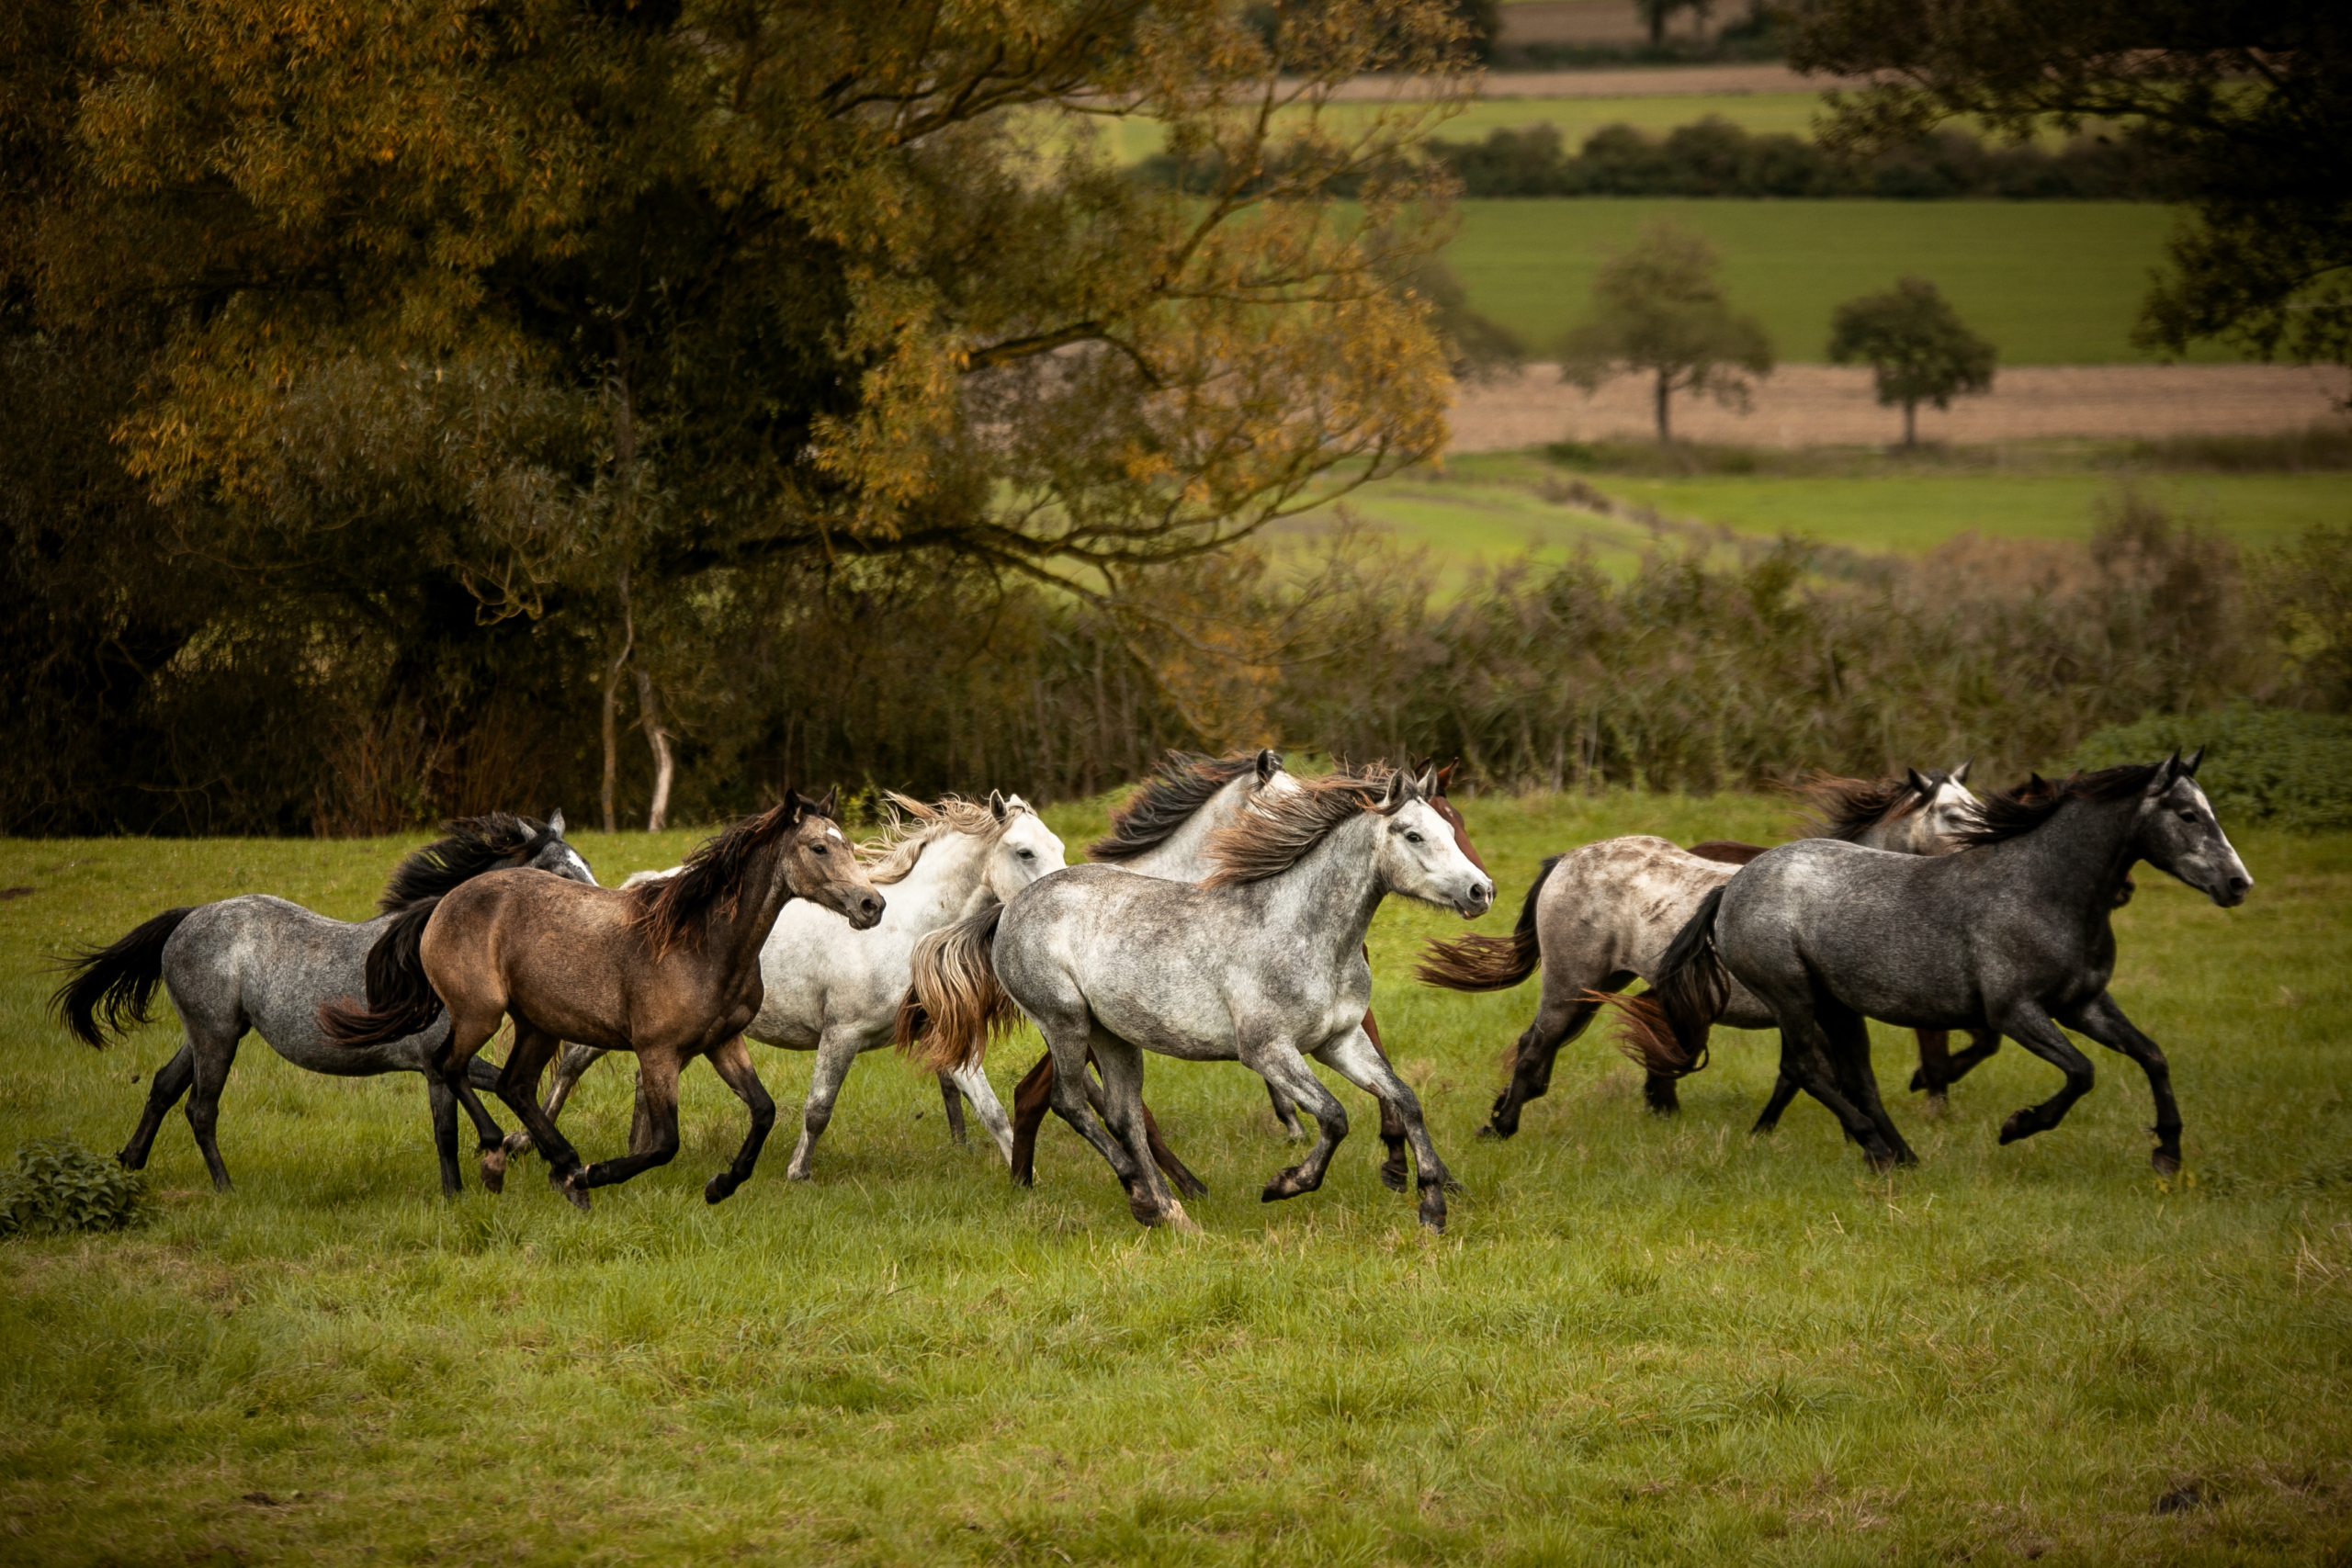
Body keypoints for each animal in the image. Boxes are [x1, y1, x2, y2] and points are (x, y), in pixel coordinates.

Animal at [53, 818, 593, 1194]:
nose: (598, 914)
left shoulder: (442, 1062)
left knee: (165, 1086)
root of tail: (189, 916)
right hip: (215, 1037)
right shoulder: (433, 1064)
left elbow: (497, 1087)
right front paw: (459, 1192)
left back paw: (130, 1161)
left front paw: (531, 1153)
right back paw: (226, 1189)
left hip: (212, 1032)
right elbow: (447, 1131)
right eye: (562, 871)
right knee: (200, 1109)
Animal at [322, 789, 884, 1213]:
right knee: (450, 1066)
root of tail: (444, 902)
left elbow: (764, 1111)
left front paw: (720, 1186)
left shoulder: (723, 1042)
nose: (871, 905)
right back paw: (504, 1159)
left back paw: (561, 1165)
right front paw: (596, 1174)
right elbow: (664, 1143)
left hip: (538, 1024)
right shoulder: (658, 1052)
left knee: (513, 1084)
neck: (703, 941)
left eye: (849, 845)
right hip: (480, 1013)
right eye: (818, 848)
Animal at [513, 789, 1068, 1184]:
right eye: (1024, 852)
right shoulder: (841, 1033)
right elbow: (818, 1107)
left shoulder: (937, 1037)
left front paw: (1025, 1174)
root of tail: (638, 889)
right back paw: (527, 1144)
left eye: (1059, 846)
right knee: (571, 1065)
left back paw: (635, 1149)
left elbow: (991, 1110)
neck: (906, 932)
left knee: (641, 1081)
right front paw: (797, 1172)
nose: (1059, 900)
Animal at [898, 766, 1486, 1232]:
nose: (1482, 891)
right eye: (1414, 835)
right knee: (1070, 1102)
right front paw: (1284, 1184)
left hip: (1115, 1037)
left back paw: (1169, 1210)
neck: (1303, 929)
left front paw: (1433, 1206)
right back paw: (1142, 1195)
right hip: (1065, 1023)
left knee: (1124, 1116)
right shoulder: (1268, 1051)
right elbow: (1335, 1116)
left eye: (1449, 829)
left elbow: (1405, 1098)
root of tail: (1010, 908)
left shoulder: (1339, 1042)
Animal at [1646, 751, 2248, 1170]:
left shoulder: (2084, 1004)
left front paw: (2168, 1153)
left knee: (1850, 1077)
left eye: (2209, 812)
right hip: (1792, 996)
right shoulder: (2016, 1012)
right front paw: (2018, 1125)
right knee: (1807, 1068)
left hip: (1837, 1006)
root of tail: (1732, 887)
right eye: (2188, 814)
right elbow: (2082, 1071)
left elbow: (2152, 1056)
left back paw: (1902, 1155)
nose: (2238, 883)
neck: (2044, 891)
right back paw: (1876, 1148)